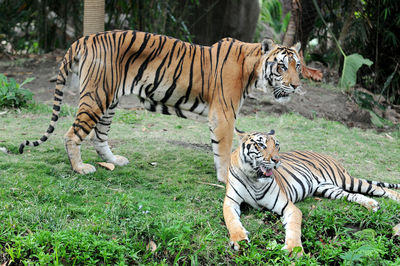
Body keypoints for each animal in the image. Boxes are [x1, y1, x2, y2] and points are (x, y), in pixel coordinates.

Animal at [17, 29, 302, 183]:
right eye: (281, 66)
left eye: (297, 66)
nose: (297, 86)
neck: (252, 69)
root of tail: (84, 38)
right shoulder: (224, 116)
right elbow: (222, 150)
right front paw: (225, 178)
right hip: (96, 96)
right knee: (72, 134)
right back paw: (80, 168)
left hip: (109, 100)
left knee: (99, 137)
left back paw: (114, 161)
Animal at [225, 130, 400, 255]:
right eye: (260, 145)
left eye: (277, 145)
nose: (276, 160)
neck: (255, 178)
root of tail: (327, 155)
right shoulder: (230, 202)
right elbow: (232, 220)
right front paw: (240, 240)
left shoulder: (288, 206)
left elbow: (294, 228)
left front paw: (293, 249)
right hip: (329, 189)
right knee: (353, 195)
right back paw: (371, 205)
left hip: (346, 180)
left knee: (381, 189)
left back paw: (393, 198)